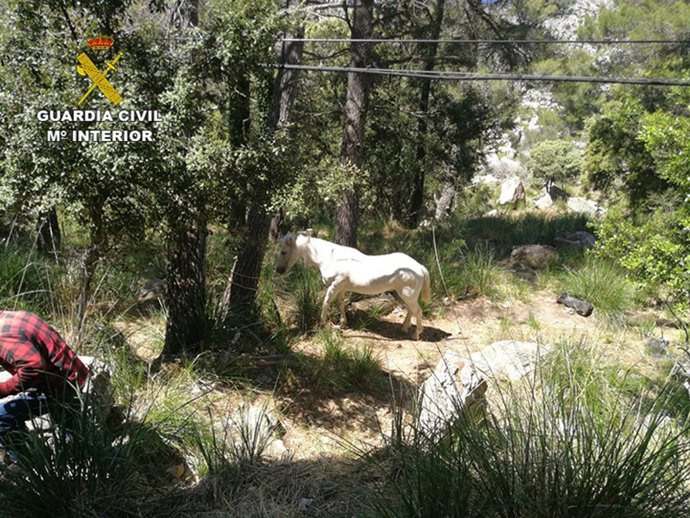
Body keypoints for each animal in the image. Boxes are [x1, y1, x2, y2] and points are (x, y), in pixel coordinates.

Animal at [276, 232, 431, 340]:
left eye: (283, 251)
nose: (278, 270)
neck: (332, 258)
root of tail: (419, 267)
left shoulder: (335, 285)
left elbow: (326, 302)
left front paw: (322, 323)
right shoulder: (341, 288)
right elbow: (340, 304)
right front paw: (343, 323)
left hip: (407, 294)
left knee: (418, 312)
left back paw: (416, 335)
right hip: (406, 295)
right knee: (411, 310)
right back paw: (404, 328)